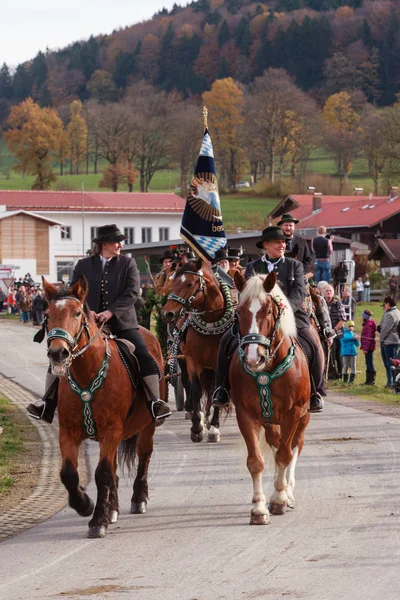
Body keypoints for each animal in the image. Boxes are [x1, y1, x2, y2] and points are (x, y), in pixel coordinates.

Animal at [41, 276, 165, 540]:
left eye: (77, 313)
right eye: (47, 315)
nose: (57, 353)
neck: (87, 373)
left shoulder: (111, 430)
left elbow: (102, 473)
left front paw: (97, 520)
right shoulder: (68, 431)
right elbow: (69, 473)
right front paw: (84, 504)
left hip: (147, 426)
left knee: (143, 456)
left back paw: (138, 499)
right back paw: (113, 509)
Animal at [162, 258, 234, 440]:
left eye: (189, 283)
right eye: (173, 282)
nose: (167, 313)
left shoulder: (220, 363)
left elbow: (217, 391)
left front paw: (214, 427)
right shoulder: (192, 361)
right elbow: (195, 390)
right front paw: (197, 427)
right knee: (188, 383)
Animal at [230, 272, 310, 524]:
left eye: (268, 311)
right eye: (239, 312)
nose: (253, 357)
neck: (266, 370)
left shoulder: (293, 413)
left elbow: (285, 454)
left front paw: (279, 500)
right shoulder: (246, 415)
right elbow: (256, 462)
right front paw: (258, 508)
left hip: (303, 417)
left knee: (294, 445)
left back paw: (288, 492)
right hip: (271, 420)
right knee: (276, 442)